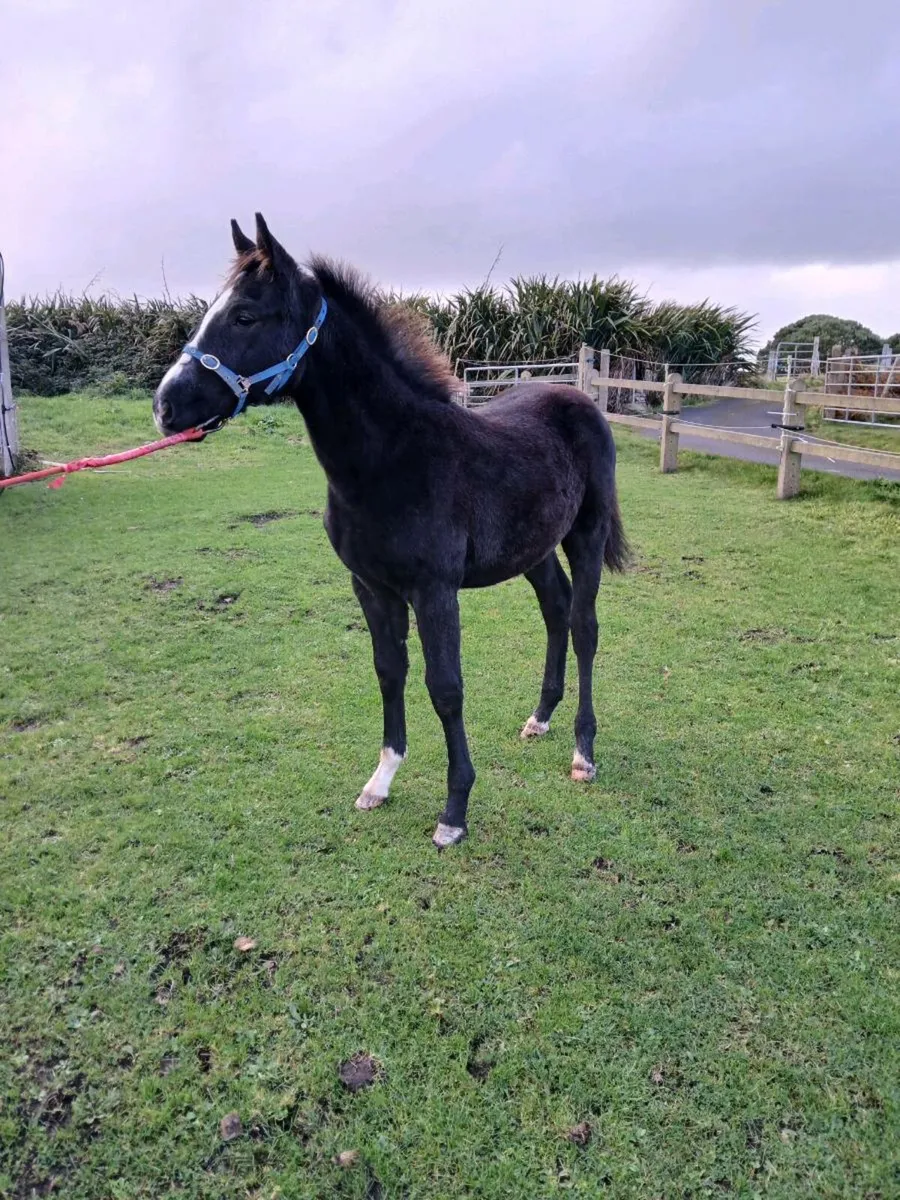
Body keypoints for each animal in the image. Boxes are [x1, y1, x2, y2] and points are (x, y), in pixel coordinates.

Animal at [153, 214, 628, 848]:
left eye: (246, 315)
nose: (165, 406)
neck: (395, 458)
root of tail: (579, 396)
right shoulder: (371, 587)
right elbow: (389, 672)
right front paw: (380, 781)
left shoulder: (435, 591)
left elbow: (445, 688)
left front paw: (454, 811)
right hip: (534, 549)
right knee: (556, 610)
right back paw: (540, 718)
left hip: (586, 536)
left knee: (584, 627)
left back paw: (583, 752)